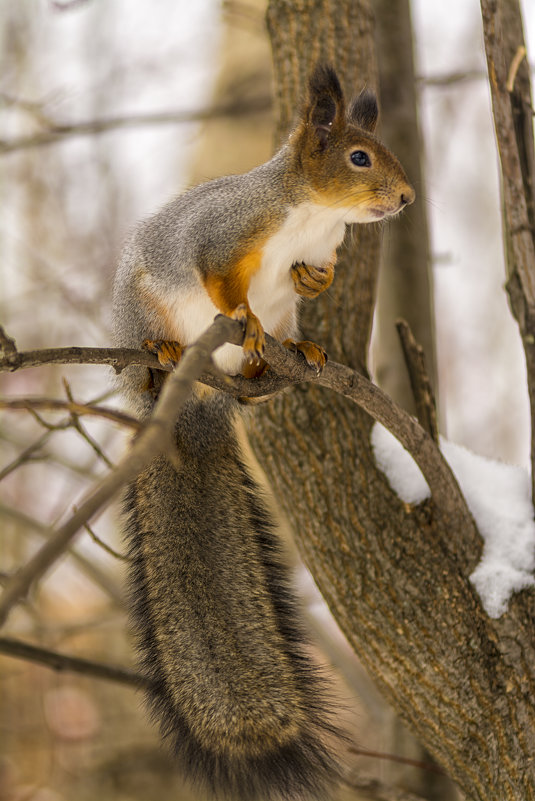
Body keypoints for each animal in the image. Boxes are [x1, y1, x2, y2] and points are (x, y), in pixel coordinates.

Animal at [112, 65, 414, 800]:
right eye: (359, 157)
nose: (406, 198)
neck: (311, 214)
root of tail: (194, 405)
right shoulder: (222, 237)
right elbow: (220, 281)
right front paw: (241, 316)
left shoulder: (317, 252)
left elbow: (313, 277)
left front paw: (314, 282)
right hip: (140, 315)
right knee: (157, 349)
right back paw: (166, 353)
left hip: (276, 333)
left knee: (277, 340)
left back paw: (284, 355)